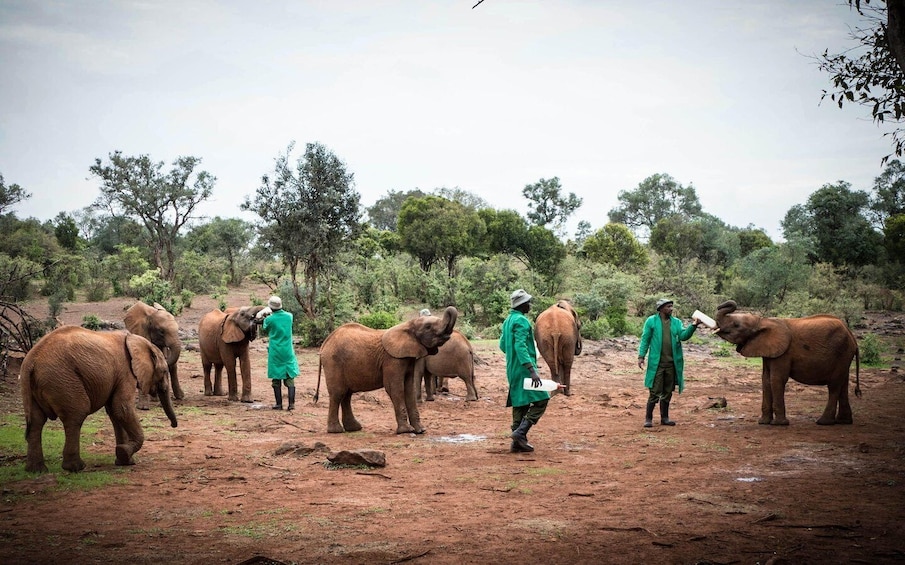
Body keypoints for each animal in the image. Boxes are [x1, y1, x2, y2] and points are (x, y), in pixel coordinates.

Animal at [19, 325, 178, 473]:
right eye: (164, 371)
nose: (173, 425)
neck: (138, 341)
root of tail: (31, 361)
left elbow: (115, 412)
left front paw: (124, 460)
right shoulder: (126, 371)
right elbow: (122, 409)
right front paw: (123, 453)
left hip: (37, 384)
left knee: (36, 422)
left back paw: (36, 470)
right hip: (62, 379)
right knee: (76, 415)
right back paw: (76, 467)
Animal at [314, 306, 458, 434]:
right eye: (428, 327)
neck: (407, 325)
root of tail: (325, 343)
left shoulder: (408, 358)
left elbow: (409, 389)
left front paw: (420, 430)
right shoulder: (392, 359)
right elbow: (395, 388)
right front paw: (406, 431)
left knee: (347, 394)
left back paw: (354, 428)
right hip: (333, 362)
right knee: (338, 393)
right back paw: (336, 431)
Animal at [714, 300, 861, 426]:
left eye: (736, 325)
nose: (722, 304)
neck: (762, 321)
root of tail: (852, 336)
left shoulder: (784, 353)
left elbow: (776, 379)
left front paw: (779, 424)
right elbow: (765, 379)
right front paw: (763, 422)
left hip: (842, 352)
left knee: (834, 385)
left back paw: (823, 422)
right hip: (844, 356)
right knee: (843, 383)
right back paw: (844, 421)